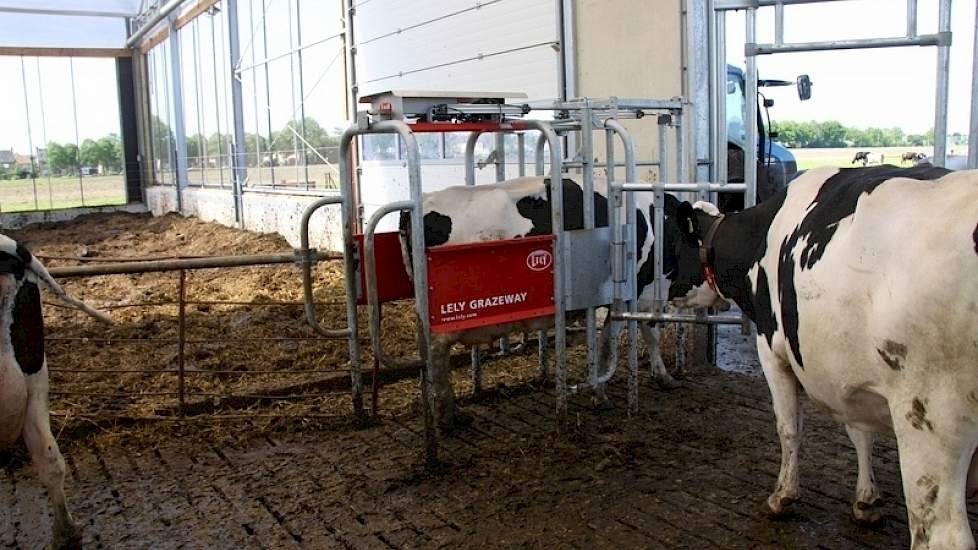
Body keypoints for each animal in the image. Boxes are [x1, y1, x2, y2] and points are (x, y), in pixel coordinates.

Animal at [398, 177, 700, 432]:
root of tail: (421, 203)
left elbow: (637, 337)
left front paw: (660, 377)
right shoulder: (633, 293)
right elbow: (621, 341)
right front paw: (603, 394)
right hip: (441, 321)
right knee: (436, 358)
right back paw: (449, 416)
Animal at [668, 166, 976, 548]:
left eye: (678, 247)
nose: (671, 292)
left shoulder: (771, 349)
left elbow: (788, 426)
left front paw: (783, 495)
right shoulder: (848, 369)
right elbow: (860, 432)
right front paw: (866, 500)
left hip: (928, 415)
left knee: (943, 534)